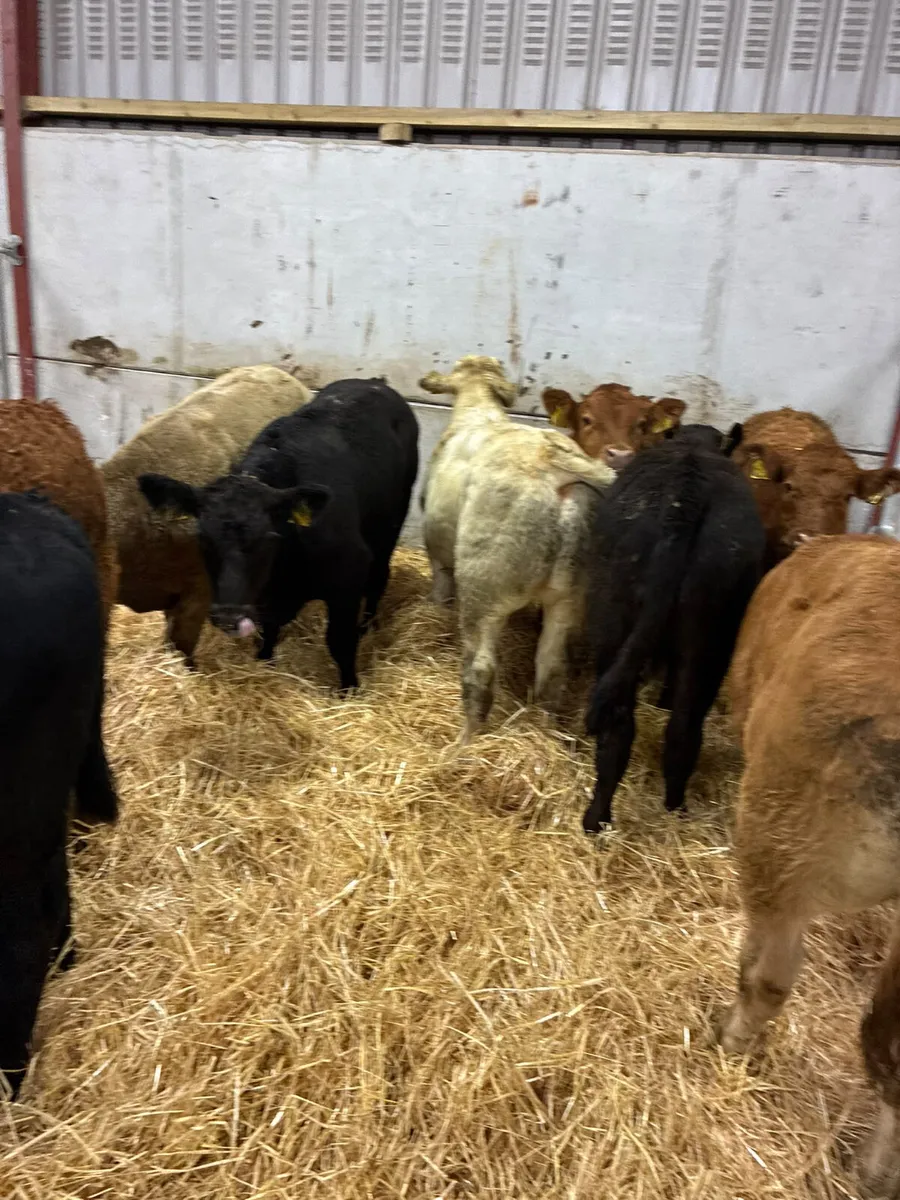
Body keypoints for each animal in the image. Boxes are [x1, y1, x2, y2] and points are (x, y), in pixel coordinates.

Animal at [138, 378, 419, 690]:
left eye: (267, 539)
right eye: (203, 540)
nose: (228, 617)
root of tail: (374, 382)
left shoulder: (349, 575)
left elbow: (340, 641)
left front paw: (349, 689)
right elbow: (268, 630)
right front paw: (265, 662)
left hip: (390, 526)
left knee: (379, 579)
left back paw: (368, 627)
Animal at [421, 356, 616, 742]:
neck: (478, 410)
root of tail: (556, 466)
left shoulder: (438, 551)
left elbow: (440, 592)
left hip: (485, 583)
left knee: (481, 669)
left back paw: (464, 742)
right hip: (570, 597)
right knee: (552, 670)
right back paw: (542, 730)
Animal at [581, 438, 765, 834]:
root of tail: (686, 495)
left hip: (618, 623)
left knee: (623, 729)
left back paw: (597, 819)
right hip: (706, 640)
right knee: (680, 728)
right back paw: (669, 809)